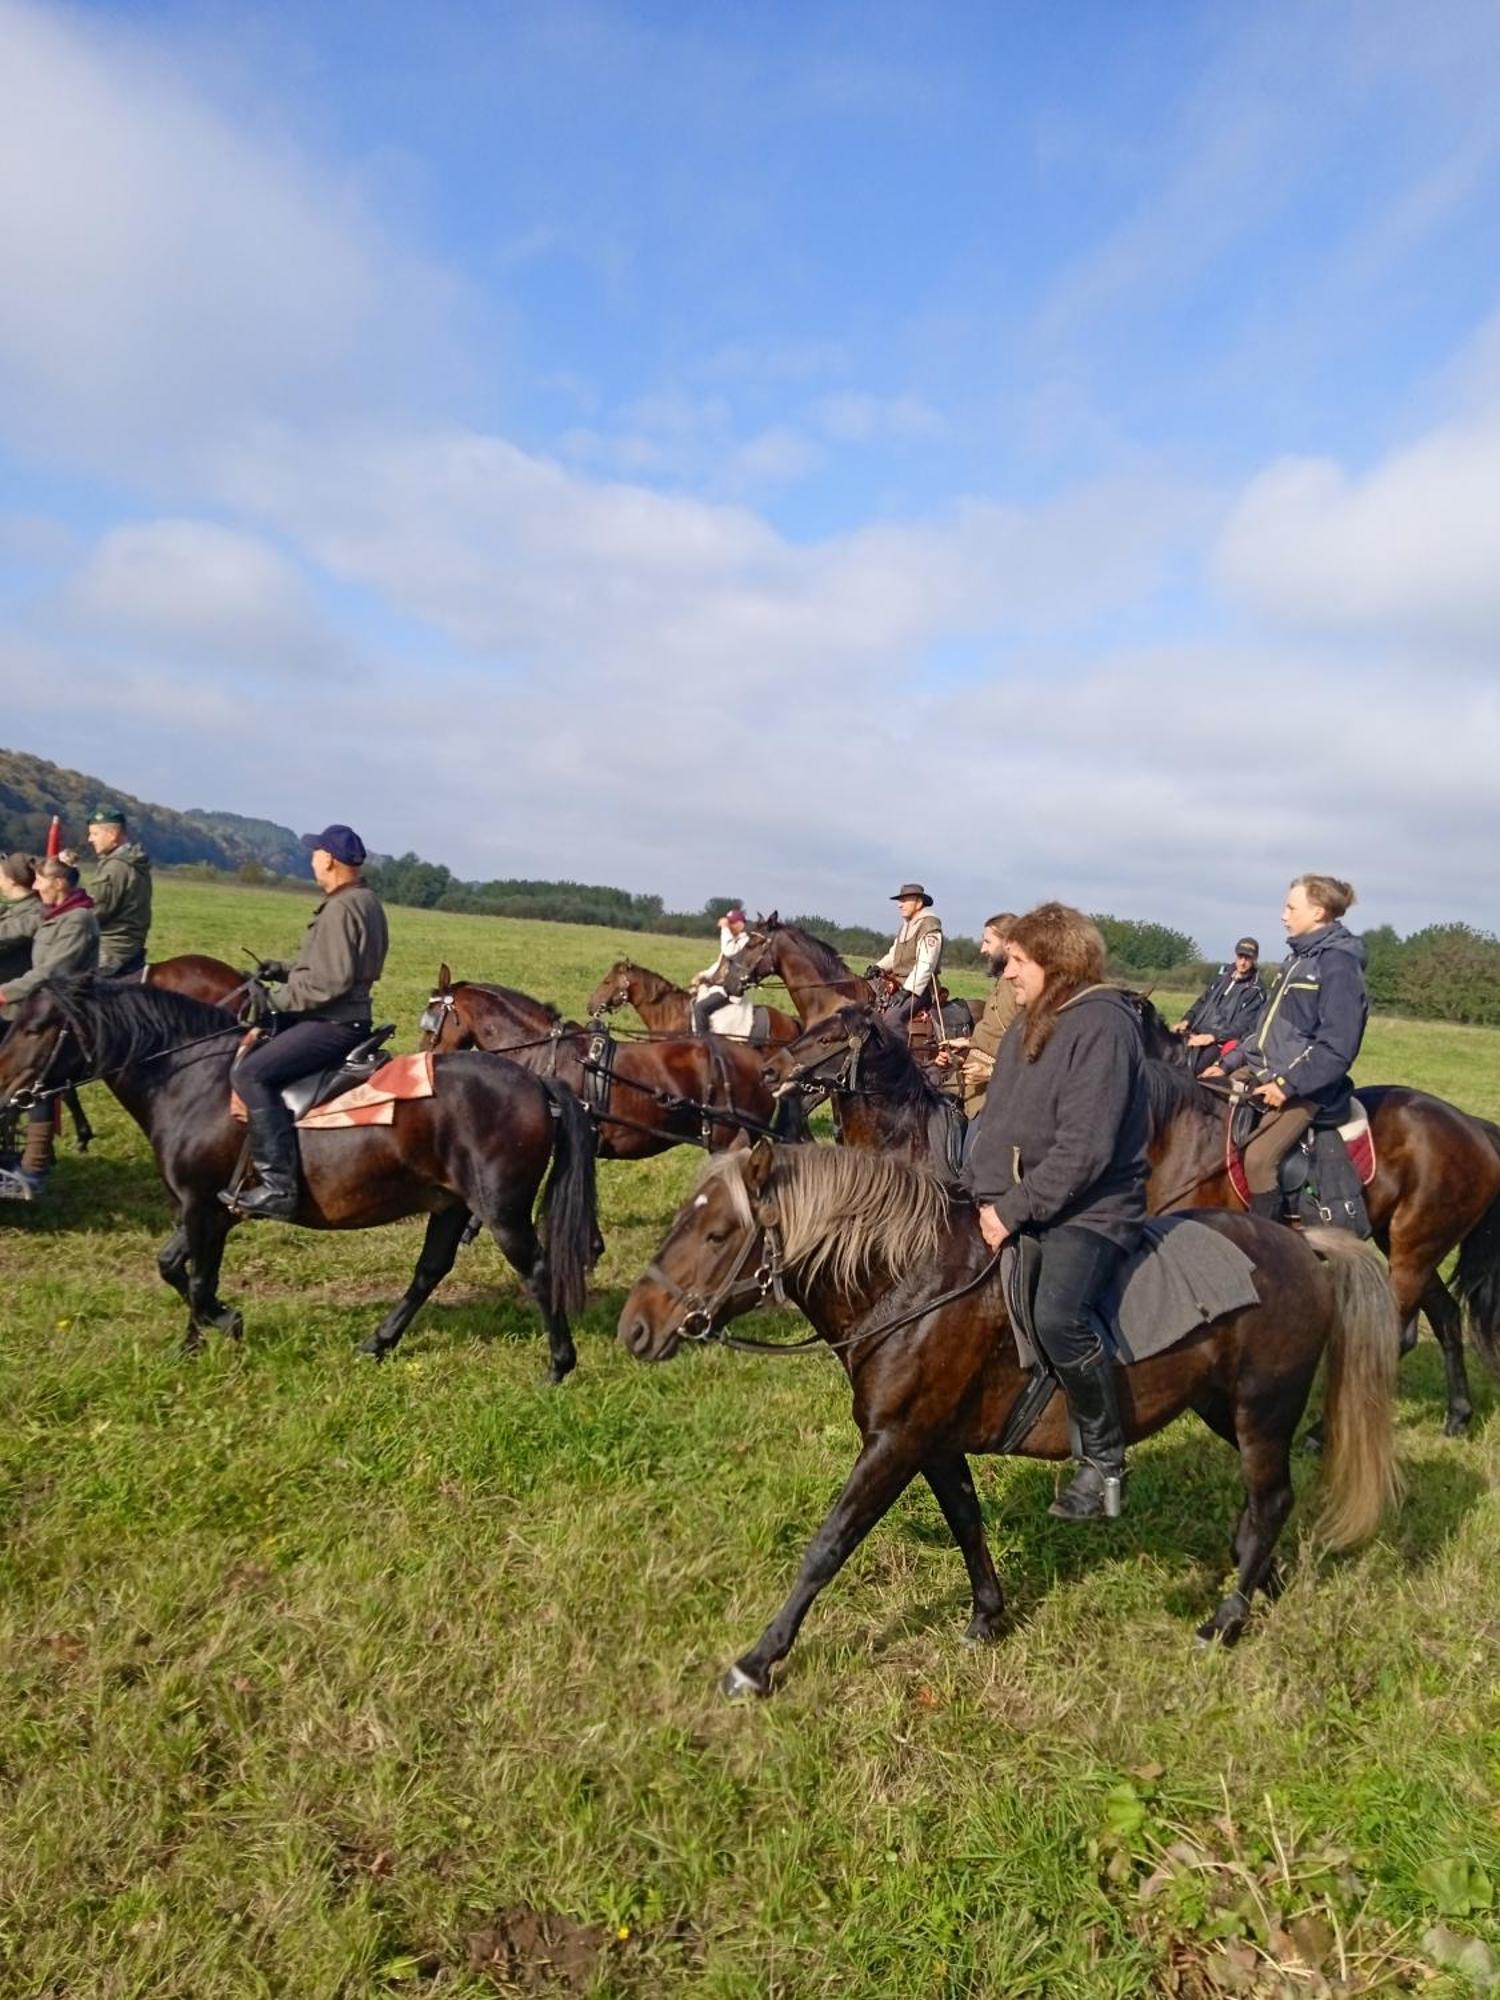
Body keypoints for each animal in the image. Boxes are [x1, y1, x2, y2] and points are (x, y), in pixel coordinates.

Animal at [0, 976, 600, 1384]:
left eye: (33, 1028)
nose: (6, 1095)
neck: (196, 1082)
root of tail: (537, 1085)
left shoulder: (201, 1207)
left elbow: (199, 1282)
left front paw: (223, 1325)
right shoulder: (210, 1209)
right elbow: (173, 1268)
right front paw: (195, 1342)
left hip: (501, 1212)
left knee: (538, 1271)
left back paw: (559, 1365)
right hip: (450, 1204)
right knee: (429, 1271)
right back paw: (378, 1343)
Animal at [616, 1152, 1408, 1696]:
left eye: (719, 1233)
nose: (634, 1329)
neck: (911, 1287)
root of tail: (1302, 1245)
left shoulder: (895, 1444)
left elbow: (827, 1547)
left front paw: (758, 1662)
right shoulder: (932, 1446)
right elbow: (967, 1524)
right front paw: (987, 1618)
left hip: (1260, 1410)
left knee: (1271, 1498)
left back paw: (1227, 1619)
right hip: (1224, 1410)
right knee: (1259, 1503)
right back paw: (1258, 1580)